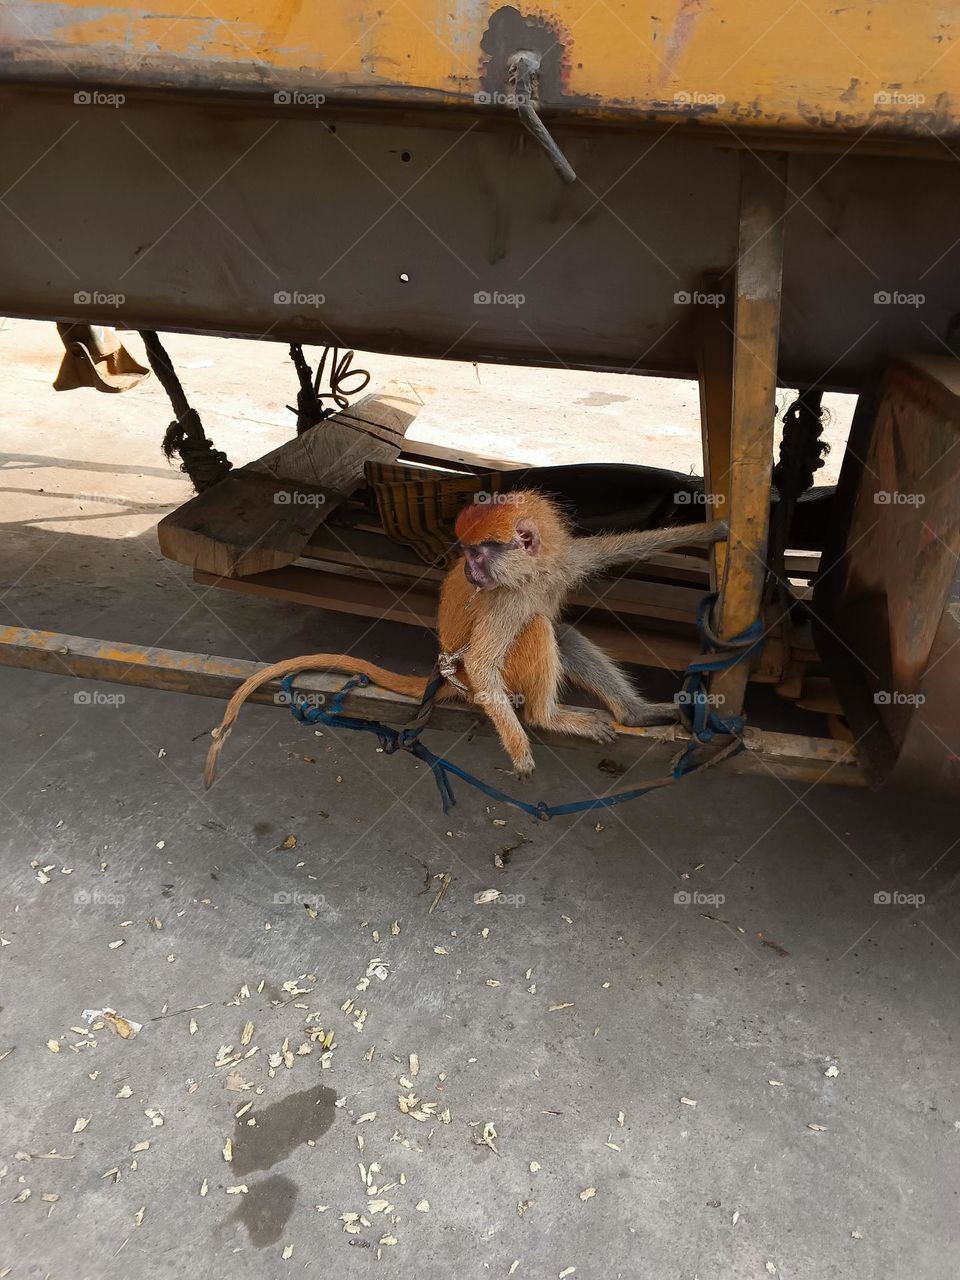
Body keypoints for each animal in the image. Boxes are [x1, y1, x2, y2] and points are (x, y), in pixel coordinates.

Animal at [203, 491, 726, 785]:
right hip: (476, 680)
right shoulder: (504, 600)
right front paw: (521, 752)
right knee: (538, 630)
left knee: (558, 631)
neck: (530, 573)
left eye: (477, 553)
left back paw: (633, 714)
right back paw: (546, 718)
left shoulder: (563, 562)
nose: (472, 571)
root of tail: (441, 668)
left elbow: (627, 546)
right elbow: (483, 661)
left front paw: (713, 529)